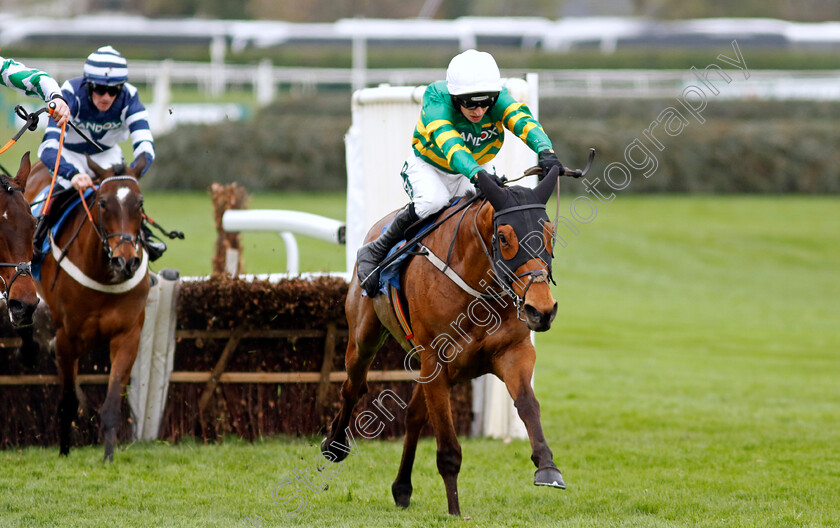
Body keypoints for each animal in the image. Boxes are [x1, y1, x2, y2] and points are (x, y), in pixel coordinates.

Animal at [25, 156, 149, 458]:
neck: (103, 274)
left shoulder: (128, 335)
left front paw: (109, 457)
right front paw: (64, 451)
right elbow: (68, 400)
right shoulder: (67, 337)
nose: (126, 261)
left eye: (139, 203)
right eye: (102, 203)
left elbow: (113, 403)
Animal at [324, 168, 568, 516]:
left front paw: (547, 467)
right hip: (364, 339)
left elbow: (527, 404)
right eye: (504, 237)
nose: (542, 309)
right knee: (353, 387)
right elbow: (448, 448)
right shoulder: (435, 360)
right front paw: (455, 511)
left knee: (413, 415)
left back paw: (402, 487)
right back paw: (334, 445)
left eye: (550, 234)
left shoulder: (513, 352)